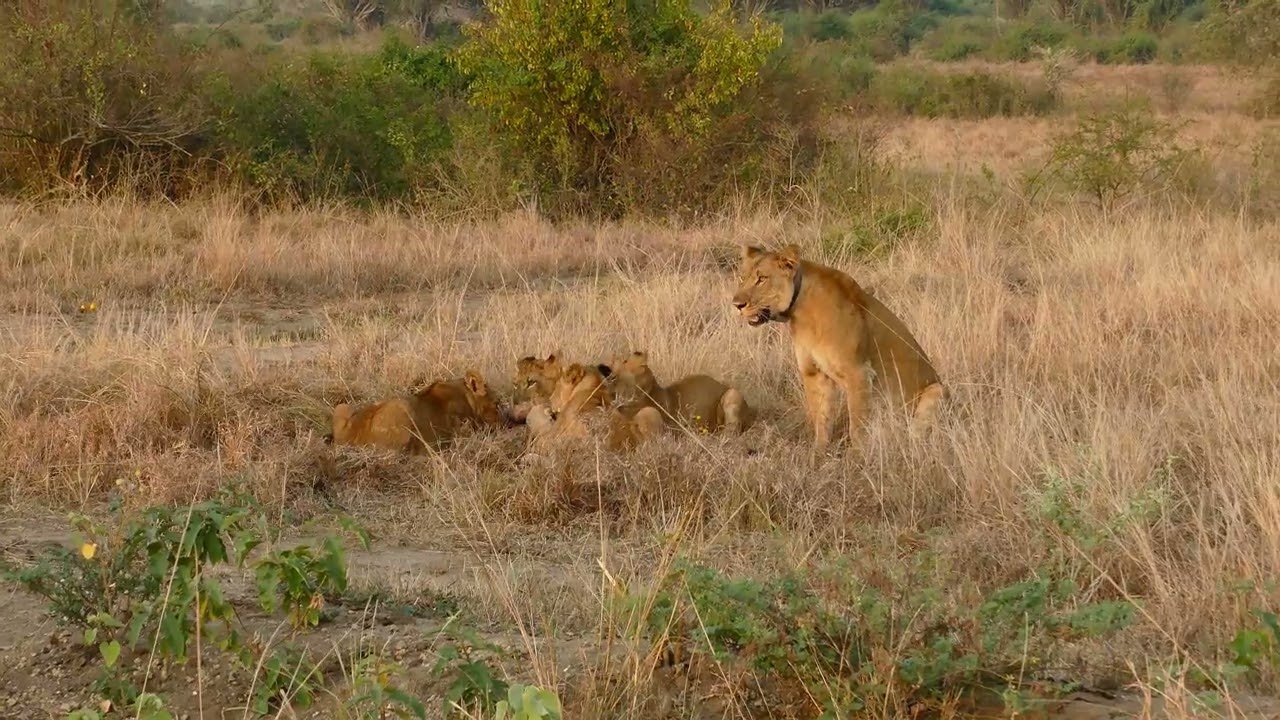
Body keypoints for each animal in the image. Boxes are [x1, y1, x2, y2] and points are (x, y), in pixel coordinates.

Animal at [329, 370, 506, 453]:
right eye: (496, 404)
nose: (507, 424)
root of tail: (350, 438)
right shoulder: (466, 429)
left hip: (342, 406)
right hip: (403, 409)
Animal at [731, 243, 946, 450]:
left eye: (761, 279)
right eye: (742, 278)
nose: (736, 305)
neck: (800, 312)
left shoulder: (859, 372)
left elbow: (857, 426)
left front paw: (858, 458)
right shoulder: (814, 373)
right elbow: (821, 419)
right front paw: (819, 454)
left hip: (937, 391)